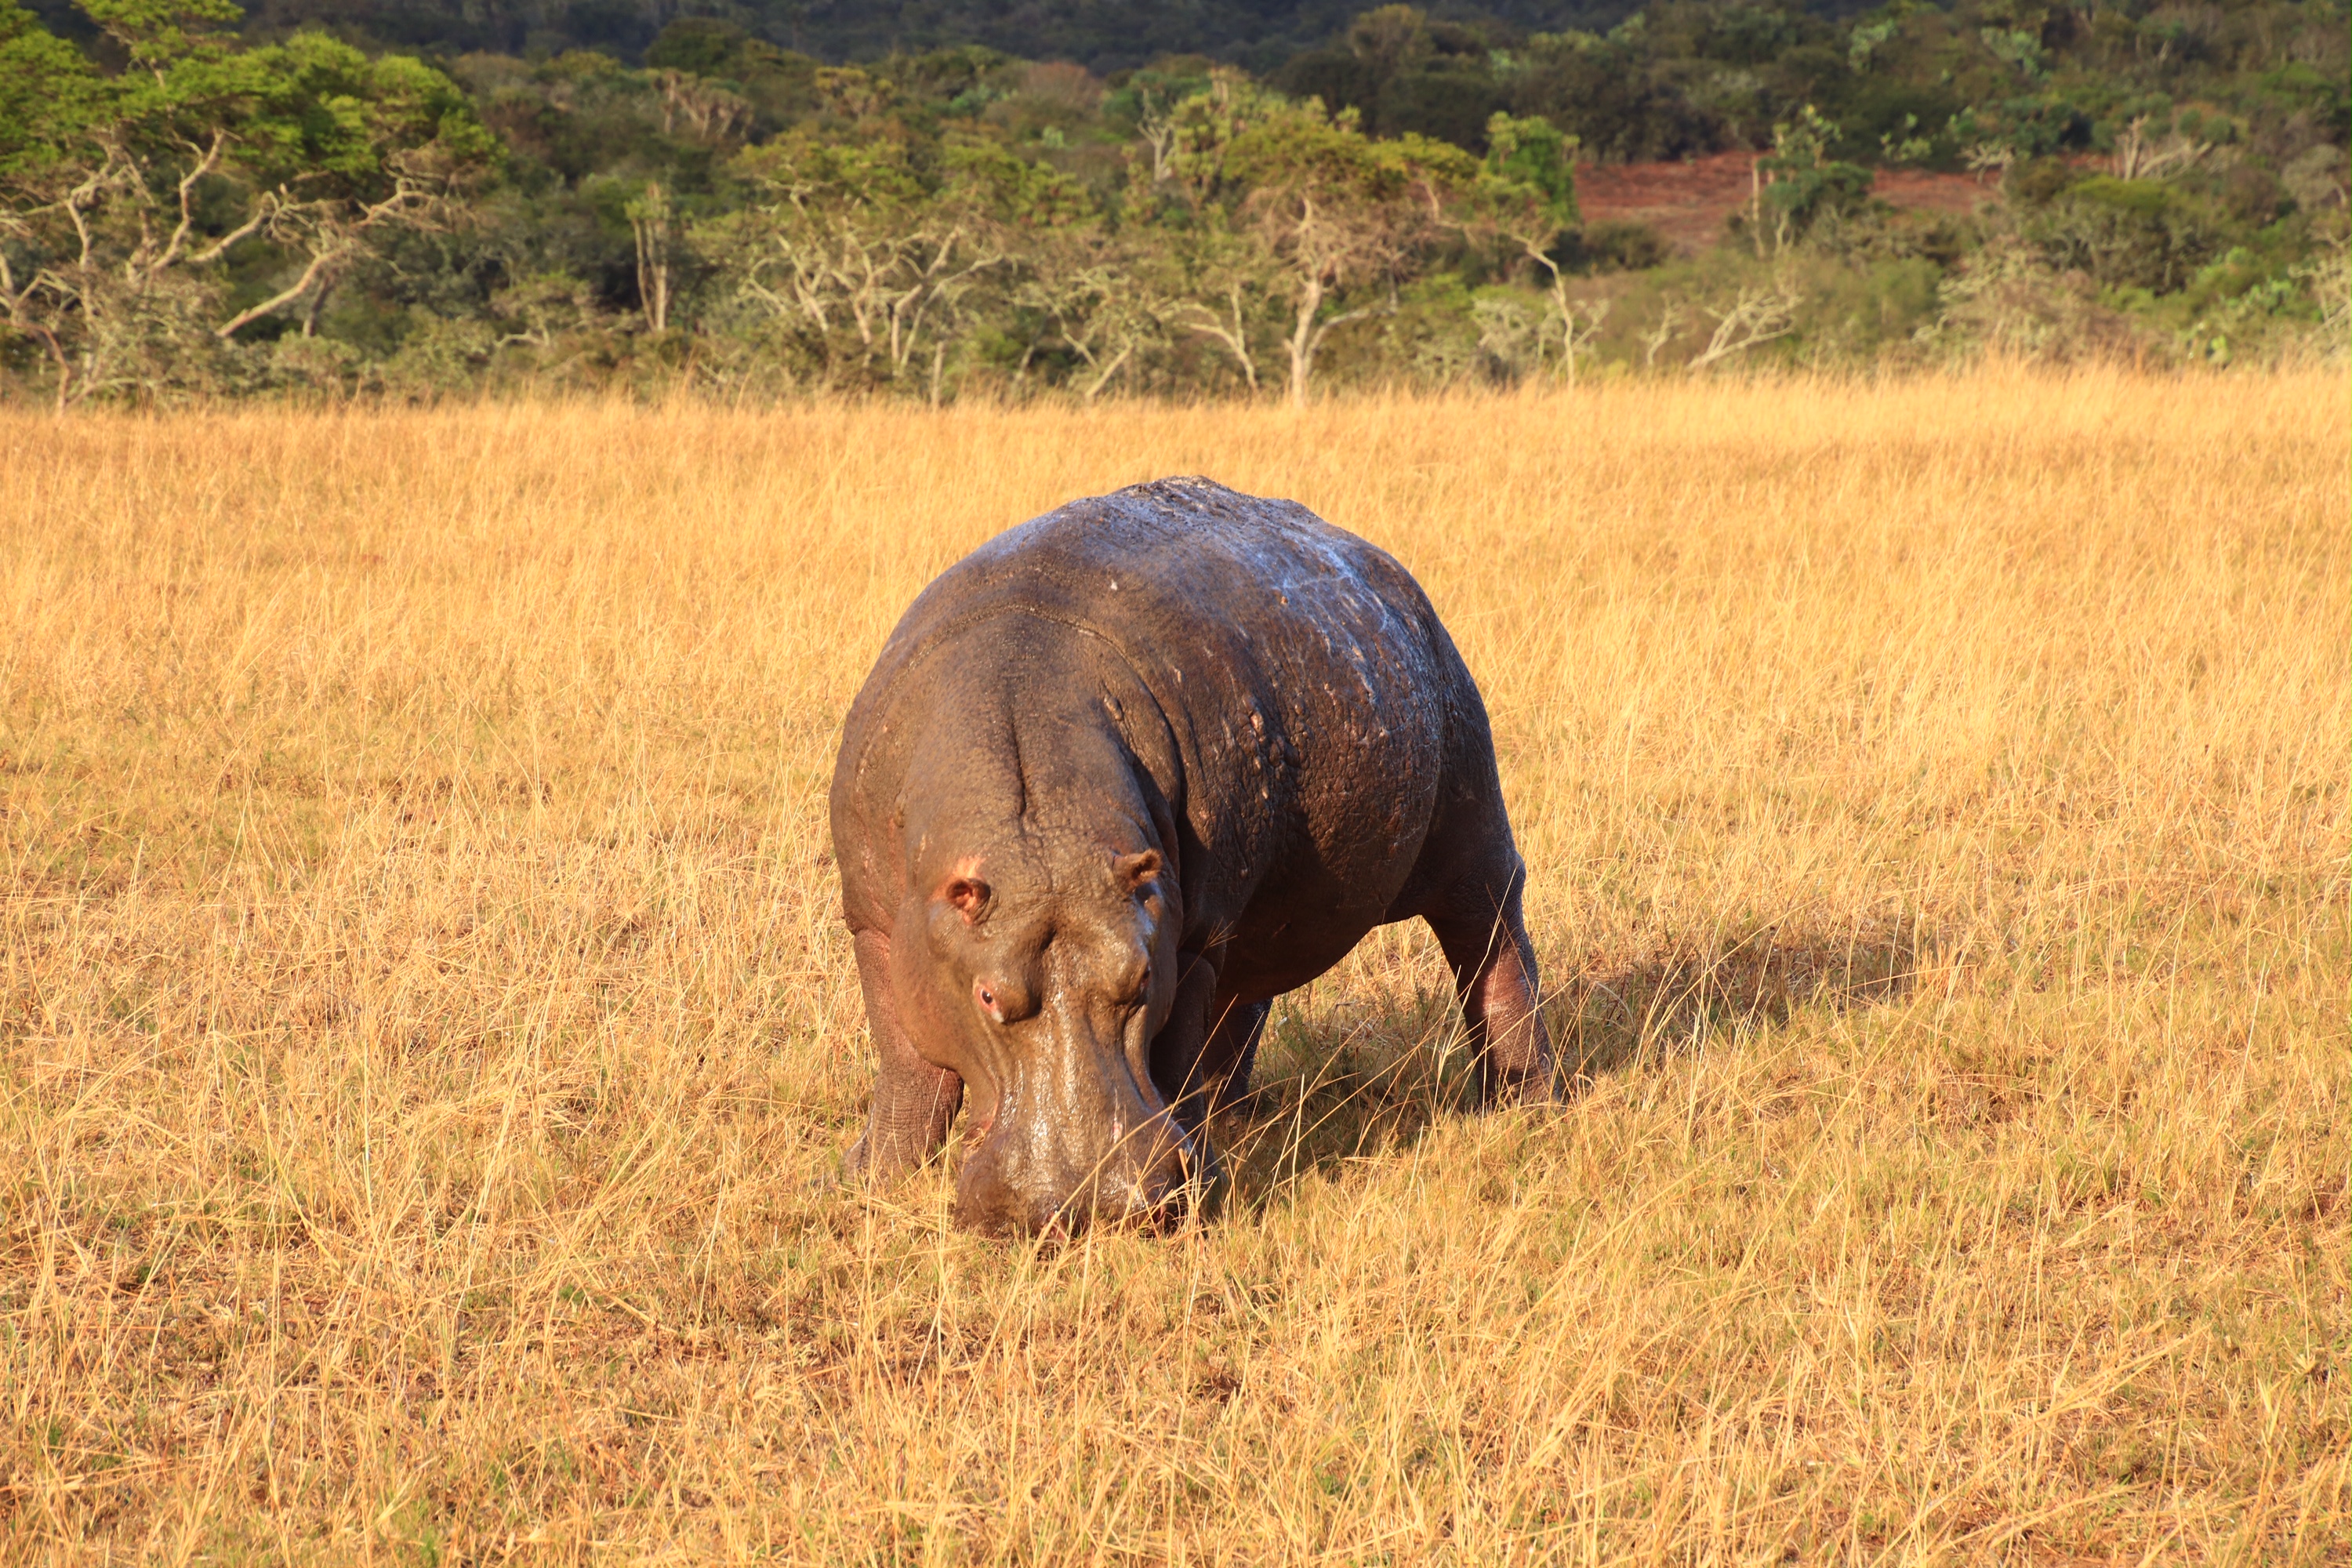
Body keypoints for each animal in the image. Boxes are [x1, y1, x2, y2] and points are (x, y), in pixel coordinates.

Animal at [837, 479, 1552, 1241]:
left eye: (1142, 978)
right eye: (988, 997)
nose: (1092, 1200)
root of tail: (1391, 572)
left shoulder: (1190, 940)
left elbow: (1174, 1055)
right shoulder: (876, 926)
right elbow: (905, 1060)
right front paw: (869, 1176)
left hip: (1468, 817)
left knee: (1493, 949)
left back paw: (1524, 1105)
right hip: (1264, 915)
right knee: (1247, 1003)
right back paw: (1235, 1123)